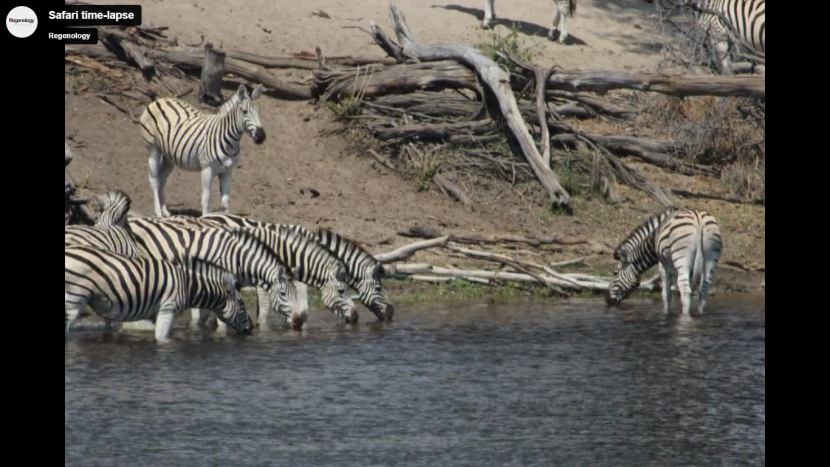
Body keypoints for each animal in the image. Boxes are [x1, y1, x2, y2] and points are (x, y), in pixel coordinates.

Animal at [66, 245, 250, 344]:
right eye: (242, 304)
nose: (251, 329)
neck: (187, 284)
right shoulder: (167, 310)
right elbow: (162, 339)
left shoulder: (155, 314)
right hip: (73, 300)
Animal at [138, 83, 264, 218]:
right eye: (245, 112)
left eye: (258, 112)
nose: (261, 136)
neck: (229, 142)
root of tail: (160, 100)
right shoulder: (207, 169)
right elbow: (206, 199)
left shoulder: (227, 171)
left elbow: (225, 203)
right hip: (153, 147)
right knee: (154, 179)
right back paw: (158, 212)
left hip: (169, 156)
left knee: (162, 178)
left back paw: (164, 210)